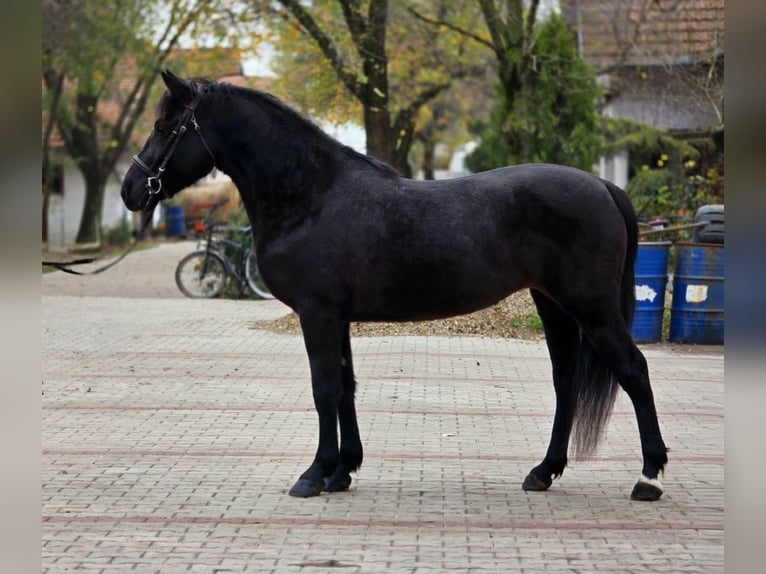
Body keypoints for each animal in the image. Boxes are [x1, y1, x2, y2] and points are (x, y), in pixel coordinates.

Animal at [121, 71, 668, 501]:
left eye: (166, 127)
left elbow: (323, 388)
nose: (130, 190)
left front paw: (314, 474)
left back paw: (649, 477)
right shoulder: (336, 317)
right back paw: (543, 471)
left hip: (592, 308)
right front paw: (342, 470)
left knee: (635, 372)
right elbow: (345, 387)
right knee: (565, 383)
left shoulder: (318, 314)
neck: (311, 196)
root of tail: (604, 186)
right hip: (553, 305)